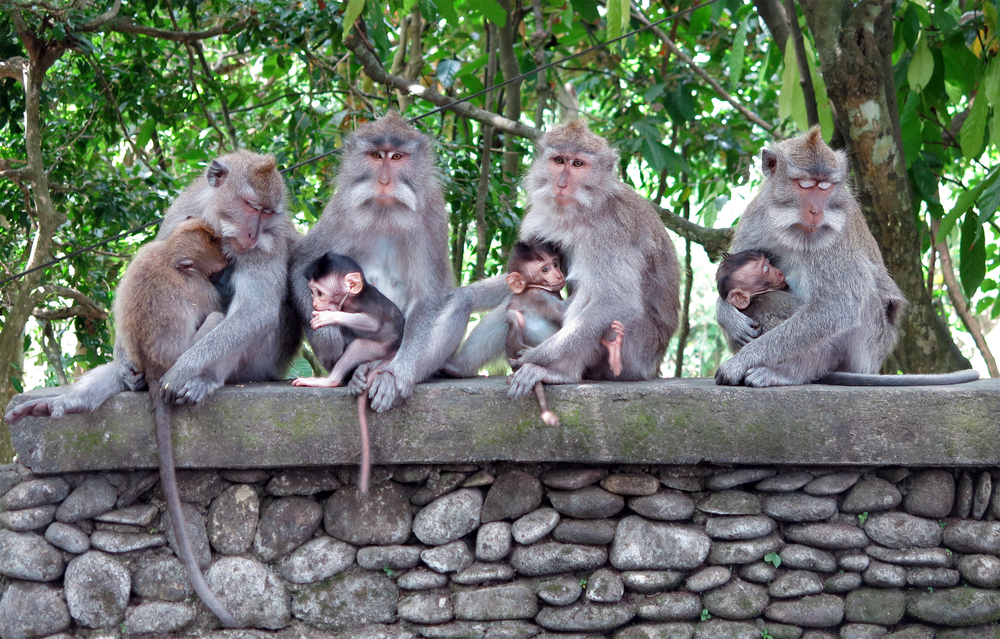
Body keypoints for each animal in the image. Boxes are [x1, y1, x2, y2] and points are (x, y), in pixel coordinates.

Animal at [4, 151, 300, 424]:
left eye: (267, 212)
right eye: (251, 206)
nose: (253, 234)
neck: (215, 220)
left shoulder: (268, 241)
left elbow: (255, 311)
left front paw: (184, 370)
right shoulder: (182, 211)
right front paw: (122, 359)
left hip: (260, 364)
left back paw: (205, 379)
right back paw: (73, 401)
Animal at [112, 220, 237, 632]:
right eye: (215, 269)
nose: (226, 273)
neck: (168, 256)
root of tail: (155, 371)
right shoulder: (200, 288)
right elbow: (214, 309)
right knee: (214, 322)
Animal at [290, 113, 454, 416]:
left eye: (397, 156)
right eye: (377, 156)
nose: (385, 181)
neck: (386, 209)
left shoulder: (434, 217)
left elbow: (429, 297)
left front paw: (397, 375)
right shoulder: (340, 210)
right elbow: (299, 265)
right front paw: (328, 337)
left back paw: (379, 369)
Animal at [292, 252, 406, 492]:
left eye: (319, 293)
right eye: (312, 291)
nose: (314, 302)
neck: (351, 298)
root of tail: (395, 352)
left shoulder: (361, 304)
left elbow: (371, 323)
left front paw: (329, 315)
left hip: (379, 347)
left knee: (359, 345)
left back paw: (330, 380)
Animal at [716, 124, 980, 384]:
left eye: (824, 187)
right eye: (804, 185)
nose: (815, 210)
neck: (791, 223)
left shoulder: (836, 233)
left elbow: (837, 306)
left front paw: (741, 360)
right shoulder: (756, 214)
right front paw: (727, 315)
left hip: (866, 349)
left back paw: (791, 373)